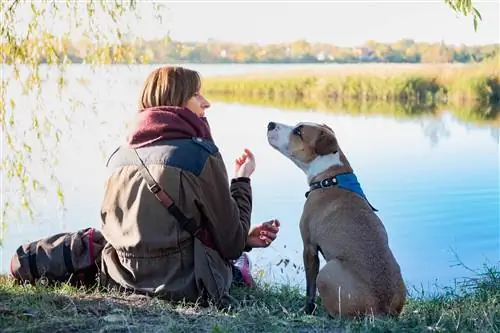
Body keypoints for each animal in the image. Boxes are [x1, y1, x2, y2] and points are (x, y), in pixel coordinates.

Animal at [266, 121, 406, 316]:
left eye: (299, 131)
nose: (270, 124)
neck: (329, 178)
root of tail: (381, 309)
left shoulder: (309, 247)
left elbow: (310, 288)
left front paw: (307, 310)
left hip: (327, 271)